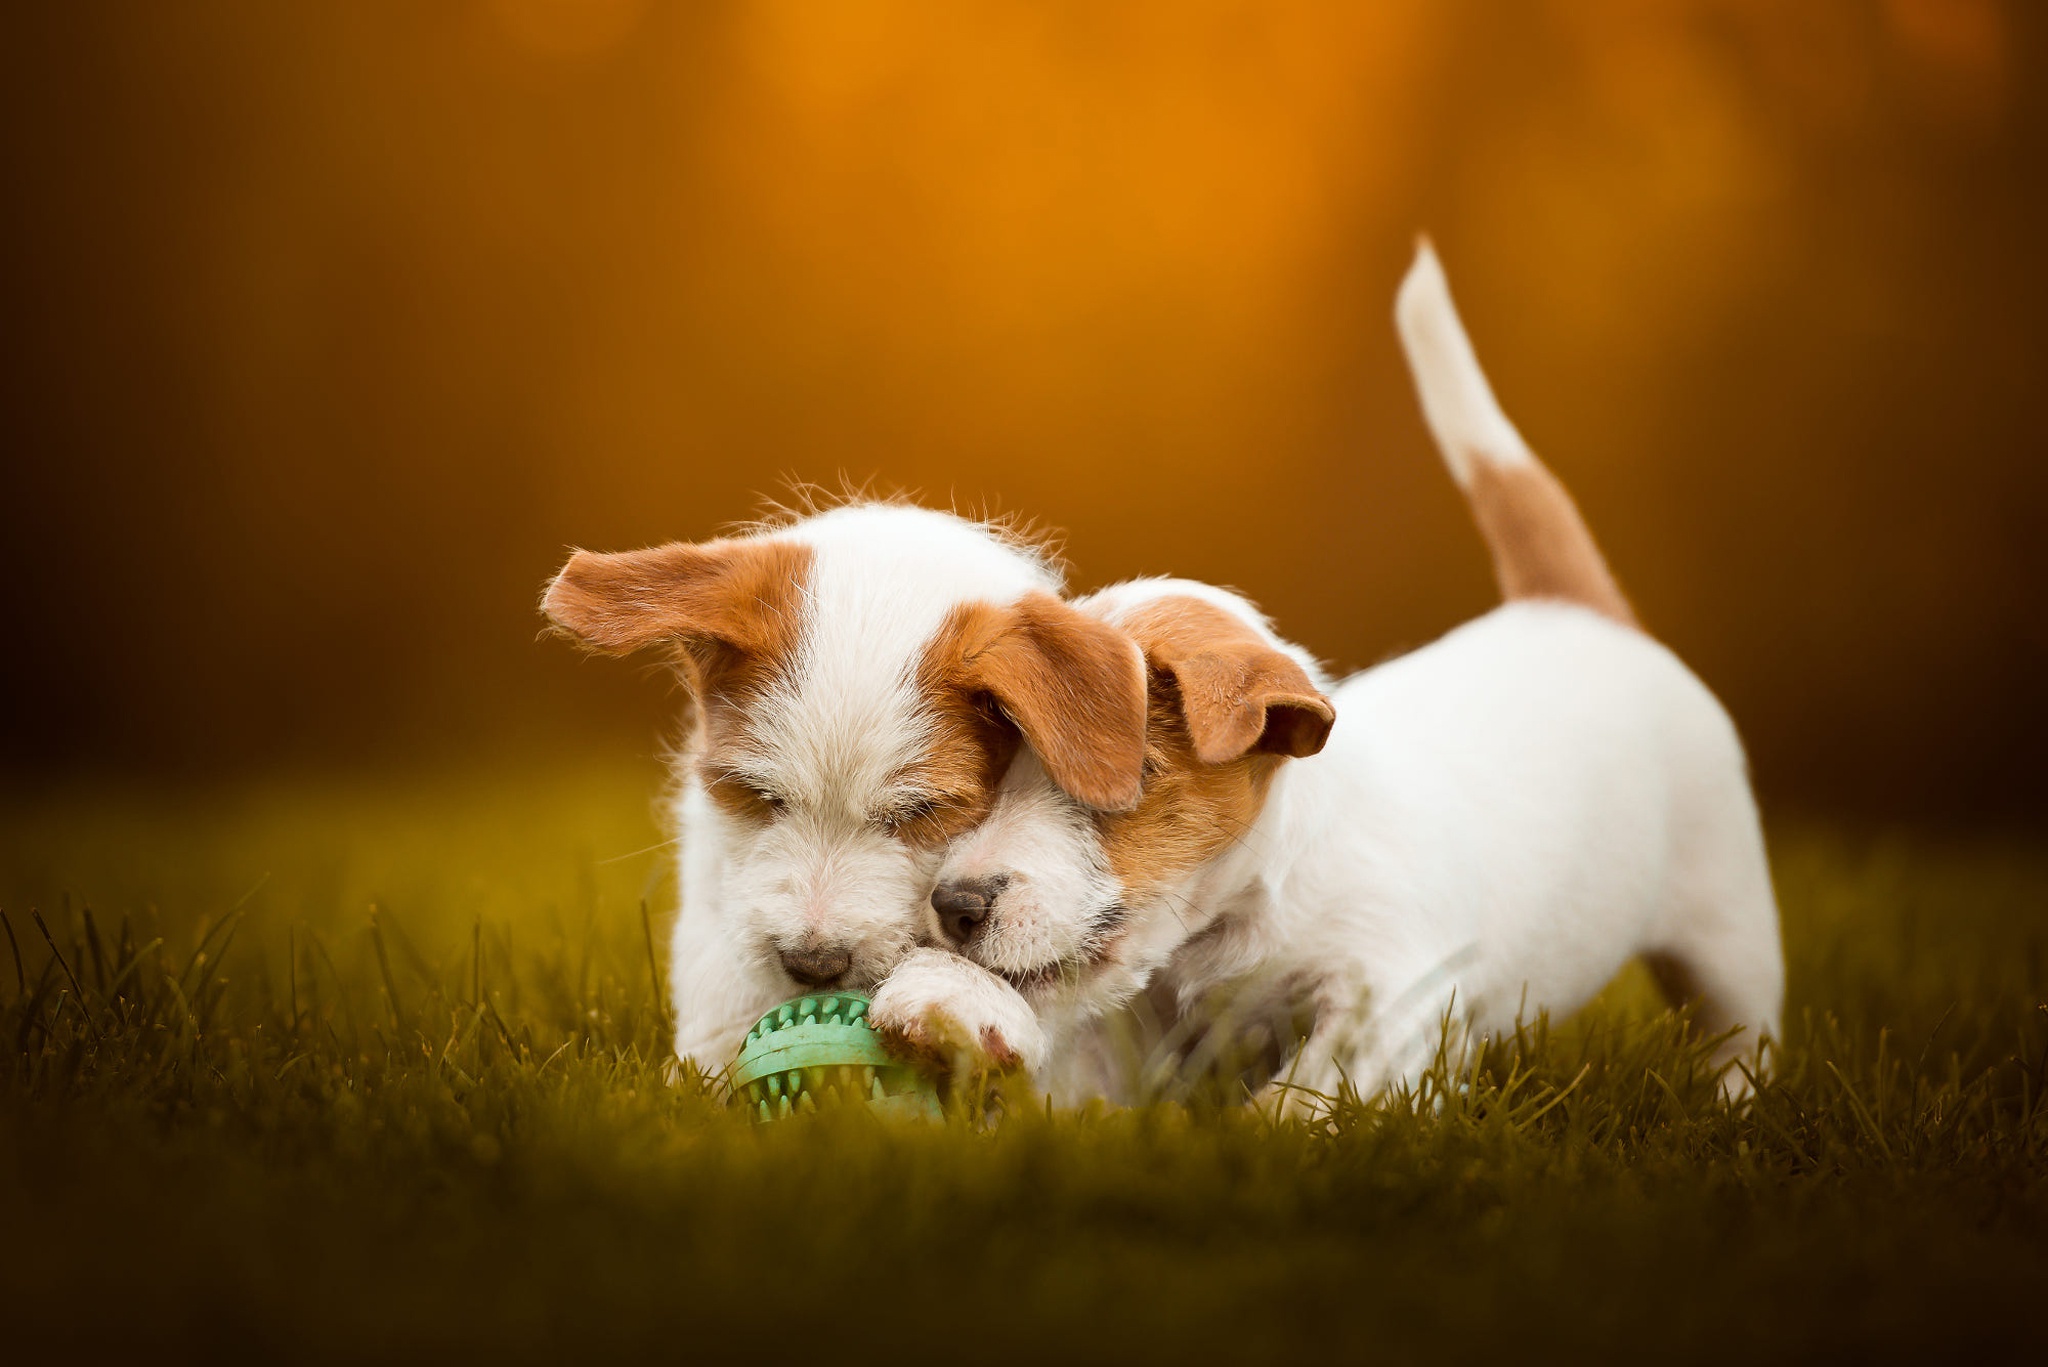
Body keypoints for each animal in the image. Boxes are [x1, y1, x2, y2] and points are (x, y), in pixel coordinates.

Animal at [872, 242, 1785, 1114]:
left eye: (1130, 782)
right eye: (991, 775)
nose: (952, 908)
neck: (1232, 922)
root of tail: (1570, 605)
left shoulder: (1393, 996)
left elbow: (1302, 1101)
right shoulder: (1133, 1026)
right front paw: (959, 1010)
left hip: (1729, 924)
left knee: (1745, 1030)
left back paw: (1734, 1103)